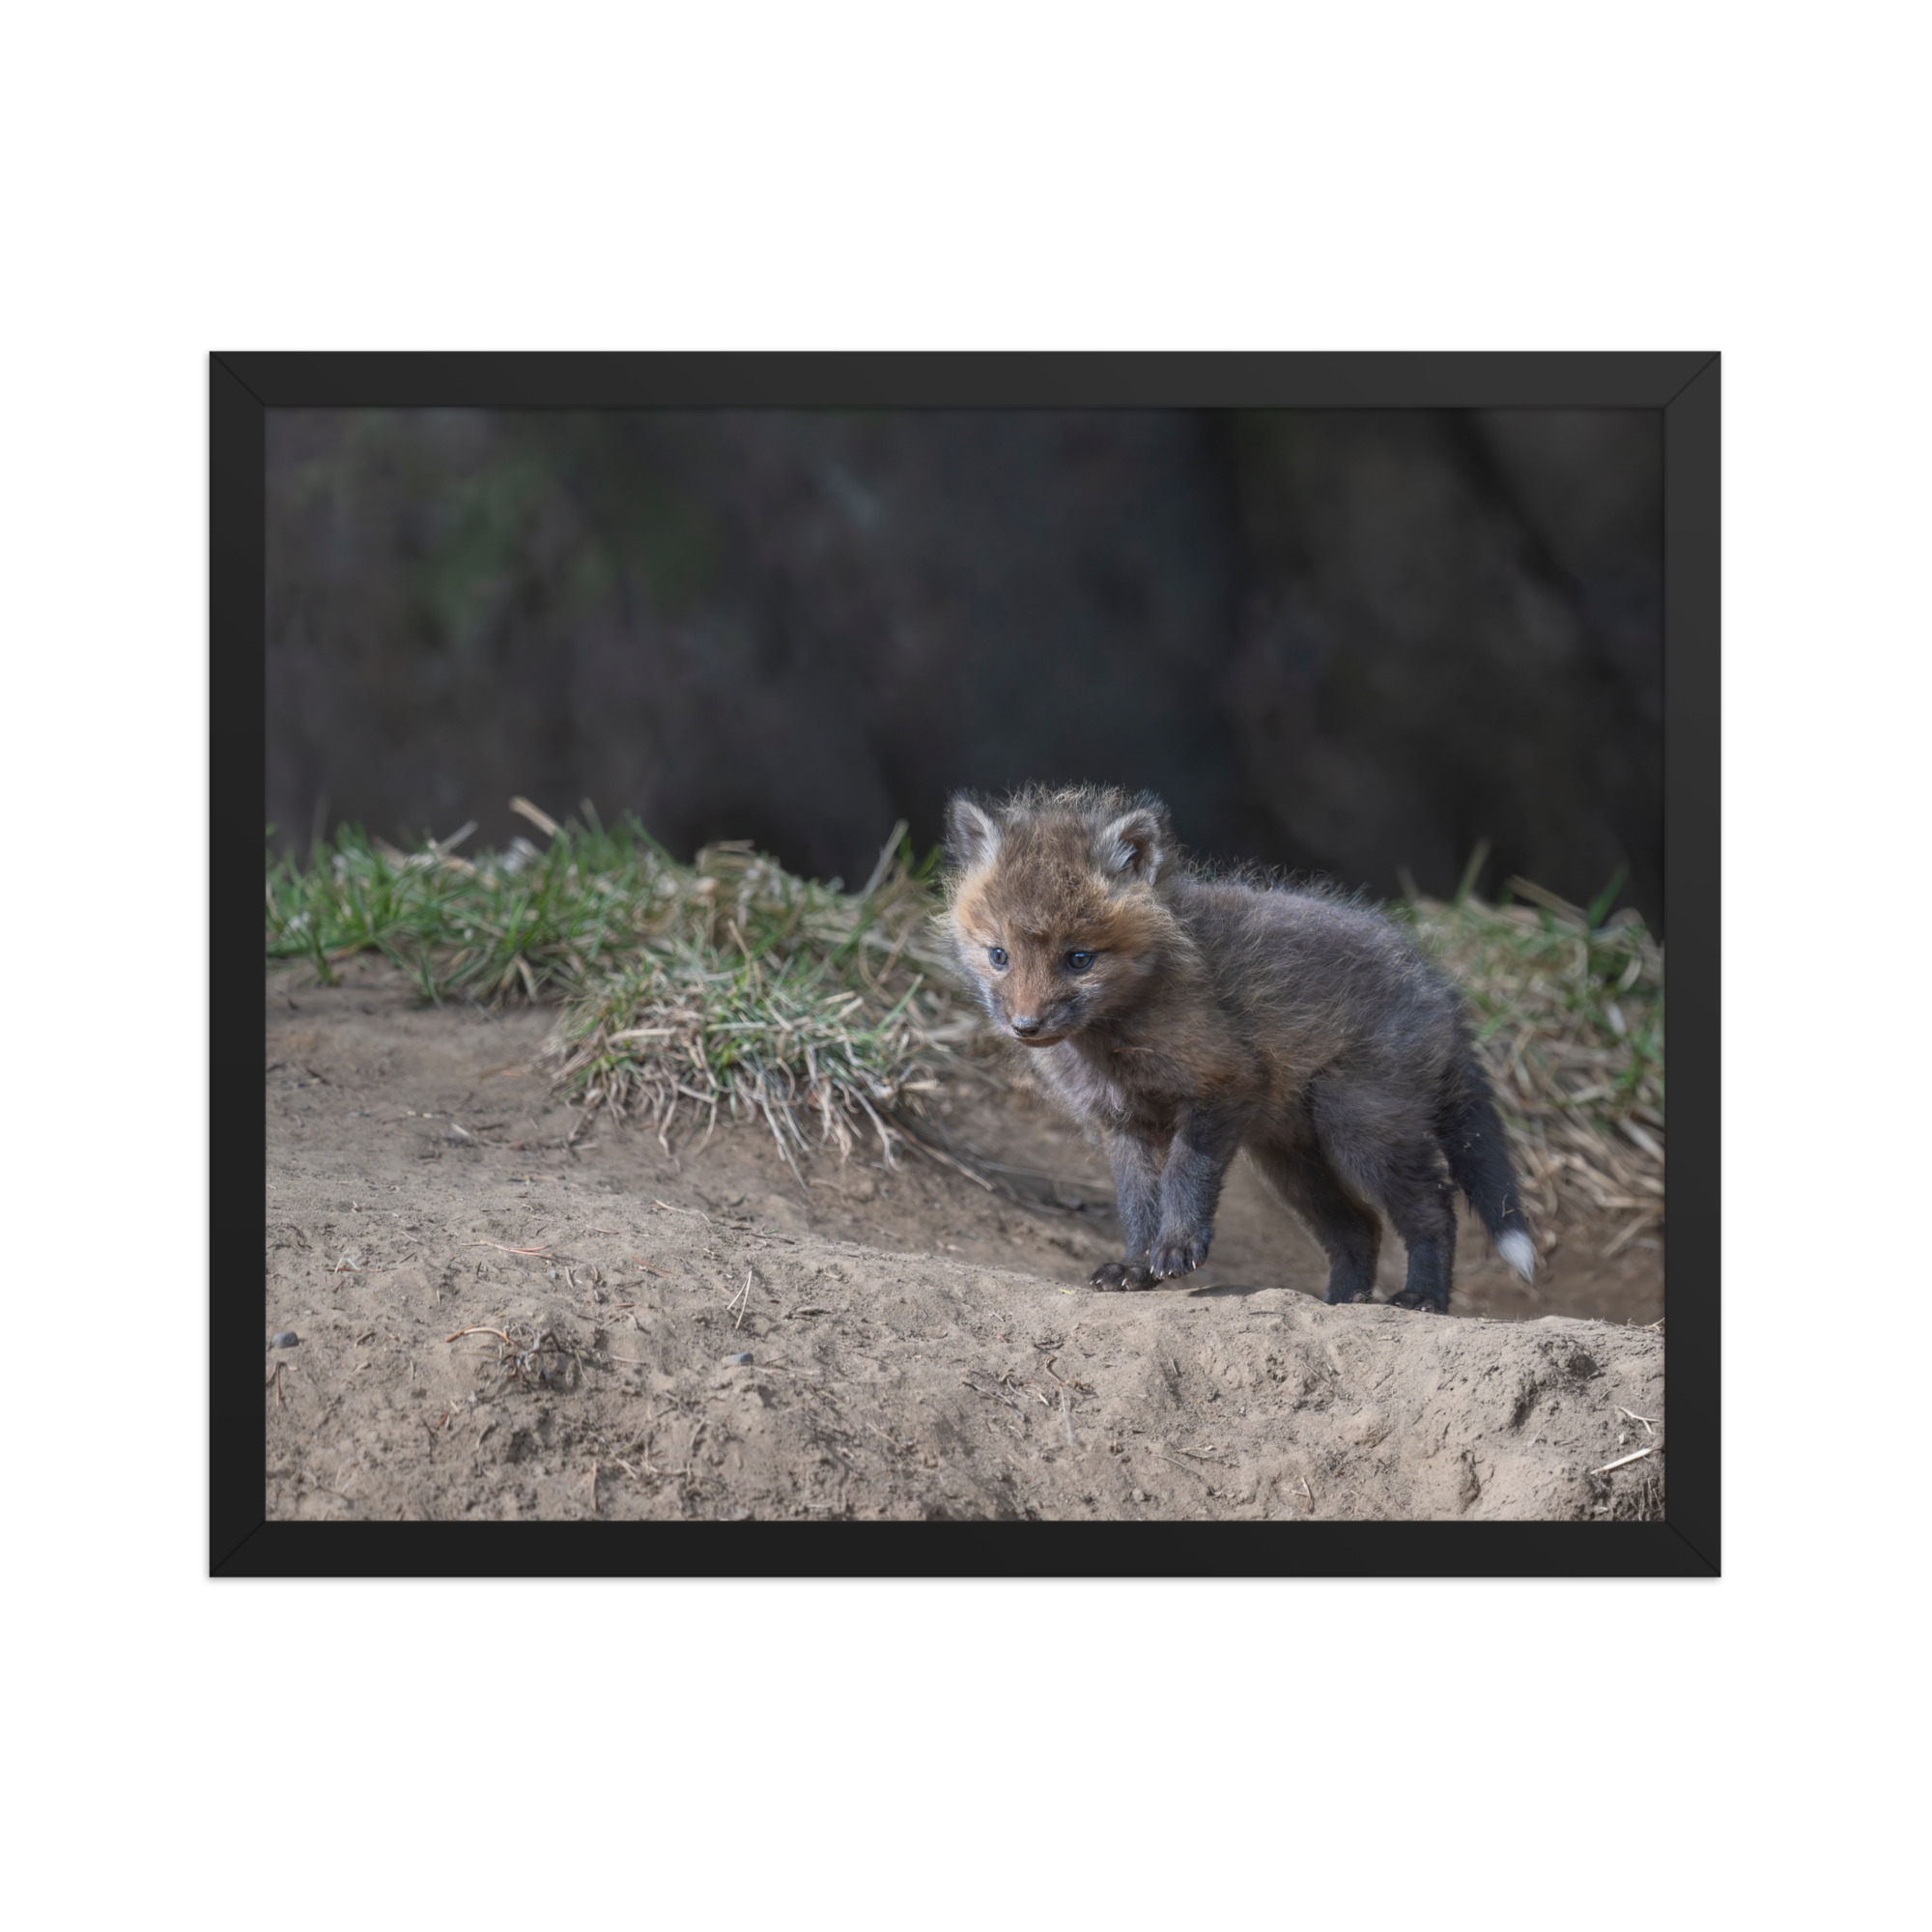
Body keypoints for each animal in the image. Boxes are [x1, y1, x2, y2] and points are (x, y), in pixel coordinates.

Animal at [941, 784, 1536, 1311]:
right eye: (999, 956)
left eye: (1079, 959)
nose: (1025, 1026)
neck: (1115, 1043)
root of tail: (1440, 988)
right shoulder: (1123, 1122)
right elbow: (1137, 1204)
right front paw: (1135, 1266)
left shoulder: (1222, 1085)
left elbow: (1185, 1176)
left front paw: (1177, 1247)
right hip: (1291, 1160)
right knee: (1360, 1228)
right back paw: (1342, 1303)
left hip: (1359, 1129)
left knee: (1434, 1209)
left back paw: (1422, 1298)